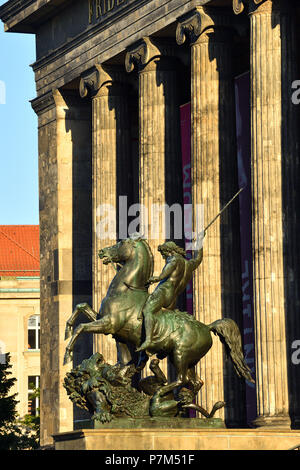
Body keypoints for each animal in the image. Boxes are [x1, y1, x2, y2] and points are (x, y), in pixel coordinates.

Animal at [63, 237, 253, 392]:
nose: (102, 251)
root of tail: (207, 326)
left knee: (182, 379)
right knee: (195, 382)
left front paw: (67, 355)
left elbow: (82, 327)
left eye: (121, 242)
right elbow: (82, 307)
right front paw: (67, 329)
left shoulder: (108, 324)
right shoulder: (112, 329)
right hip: (189, 360)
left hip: (180, 353)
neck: (126, 290)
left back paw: (162, 392)